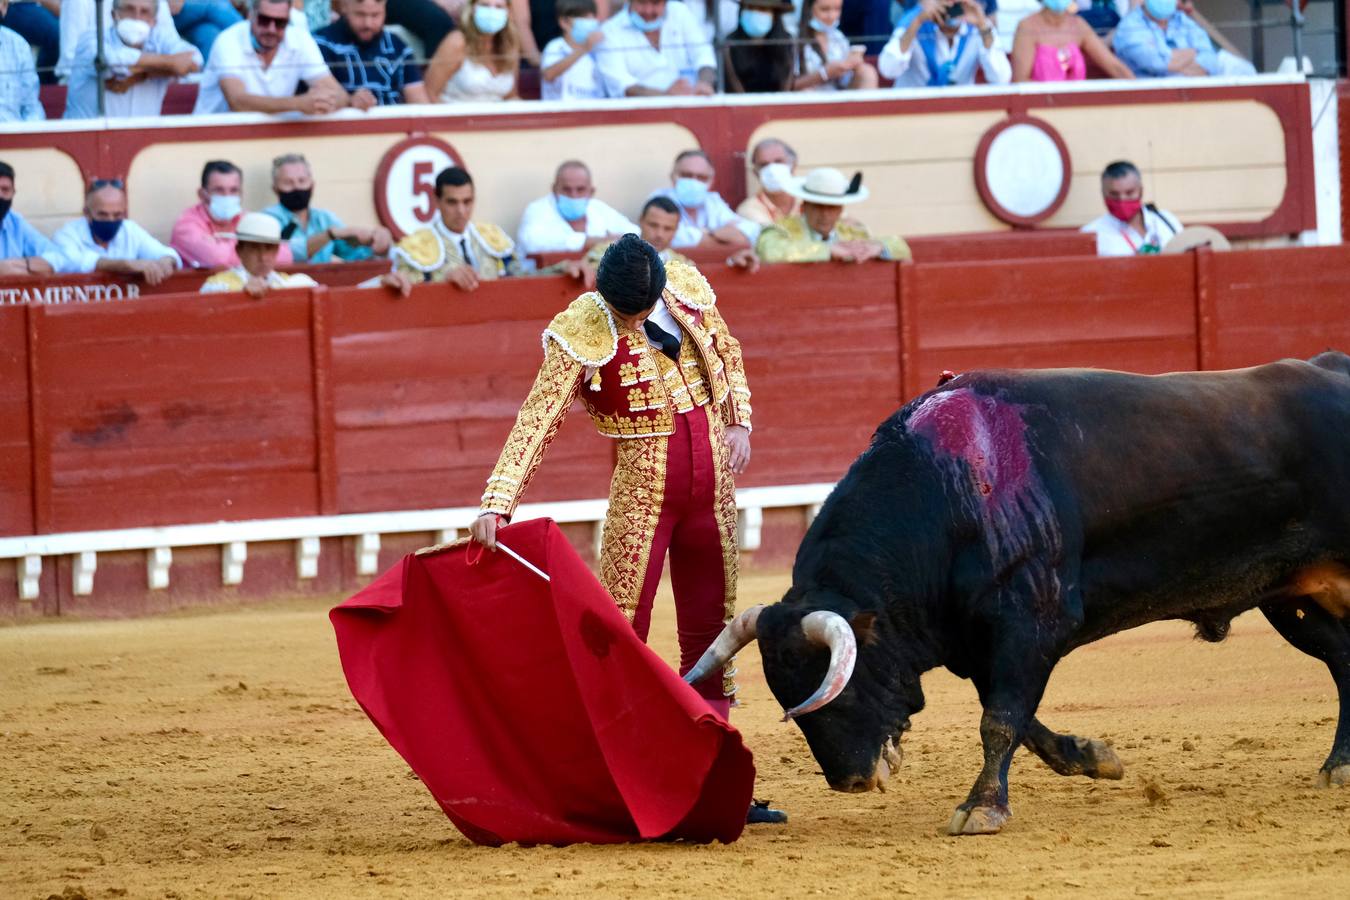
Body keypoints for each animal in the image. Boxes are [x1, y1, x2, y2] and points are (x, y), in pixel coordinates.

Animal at [691, 350, 1344, 836]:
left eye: (839, 686)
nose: (852, 780)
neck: (950, 496)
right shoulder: (981, 643)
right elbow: (1020, 721)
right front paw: (1094, 757)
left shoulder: (1029, 625)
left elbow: (1000, 721)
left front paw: (980, 809)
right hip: (1293, 598)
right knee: (1343, 661)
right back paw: (1339, 766)